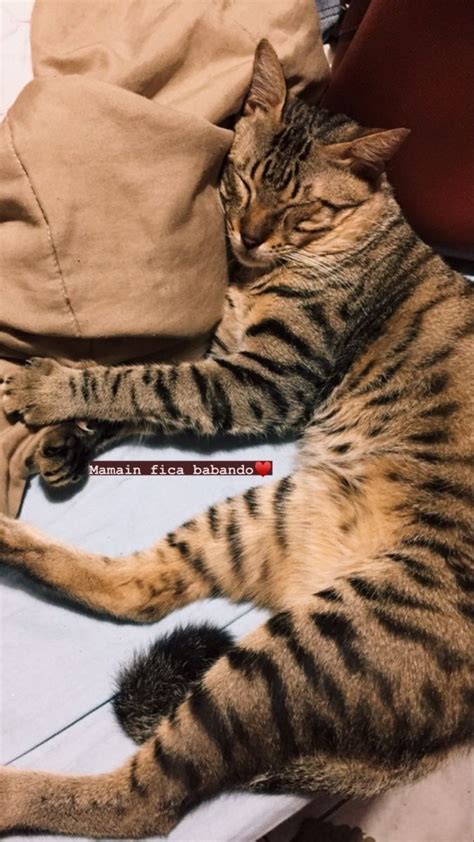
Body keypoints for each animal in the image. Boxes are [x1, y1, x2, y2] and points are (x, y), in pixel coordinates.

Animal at [0, 37, 474, 832]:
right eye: (245, 180)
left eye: (303, 206)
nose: (248, 236)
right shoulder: (229, 359)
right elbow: (151, 390)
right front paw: (66, 441)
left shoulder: (267, 376)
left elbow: (144, 381)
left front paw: (50, 389)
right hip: (264, 514)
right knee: (141, 592)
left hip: (312, 647)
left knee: (143, 803)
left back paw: (14, 792)